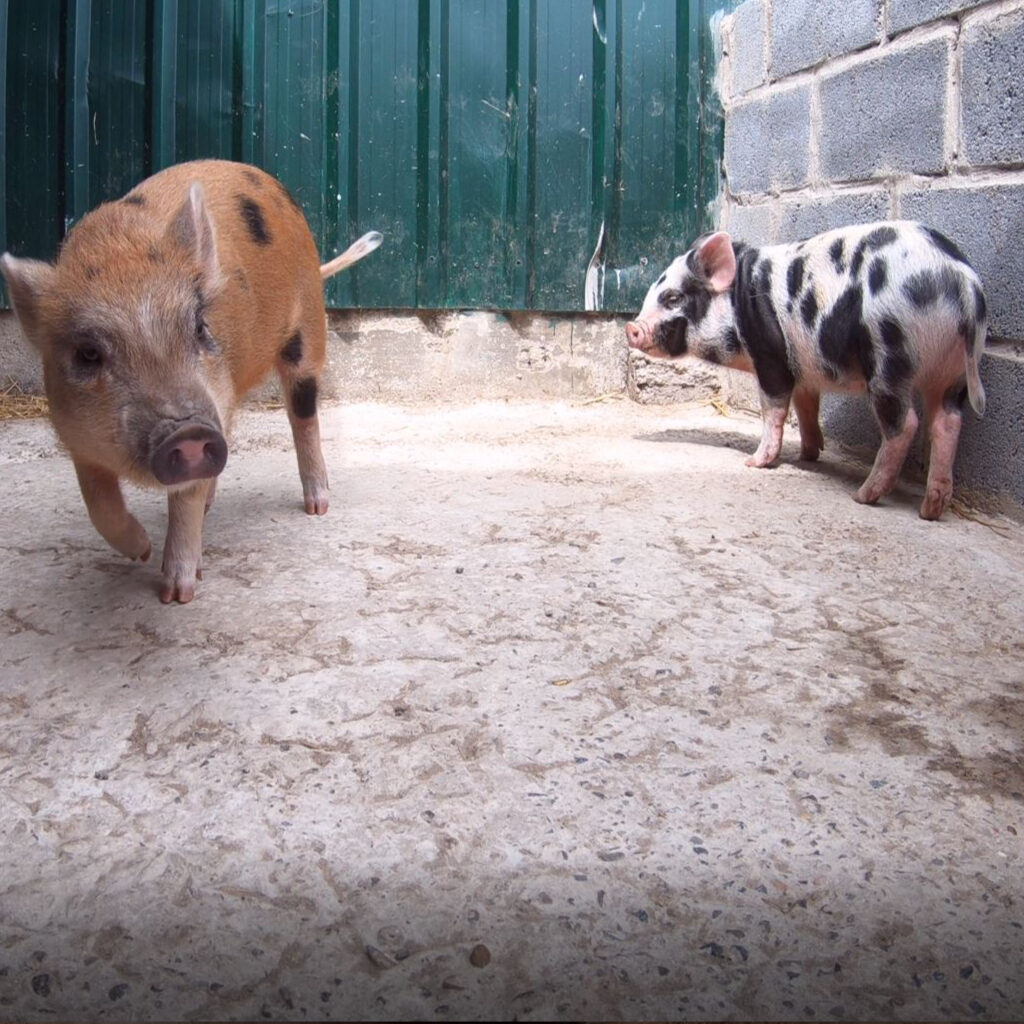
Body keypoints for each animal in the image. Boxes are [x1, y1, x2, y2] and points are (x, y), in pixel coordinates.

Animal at [2, 157, 382, 598]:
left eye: (200, 328)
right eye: (88, 353)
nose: (186, 431)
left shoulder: (209, 413)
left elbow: (184, 499)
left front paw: (176, 593)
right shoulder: (76, 436)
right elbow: (98, 503)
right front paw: (141, 551)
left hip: (307, 332)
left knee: (304, 416)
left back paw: (317, 506)